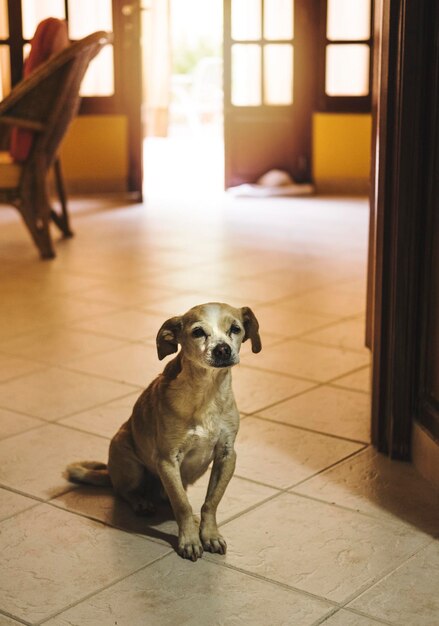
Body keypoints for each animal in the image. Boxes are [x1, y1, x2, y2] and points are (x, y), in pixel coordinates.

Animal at [66, 300, 262, 560]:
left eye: (235, 329)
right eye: (198, 332)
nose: (222, 350)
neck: (206, 392)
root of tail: (110, 472)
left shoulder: (226, 456)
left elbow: (210, 502)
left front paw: (209, 534)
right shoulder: (167, 460)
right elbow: (182, 504)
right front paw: (190, 540)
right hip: (132, 466)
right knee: (124, 492)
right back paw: (141, 502)